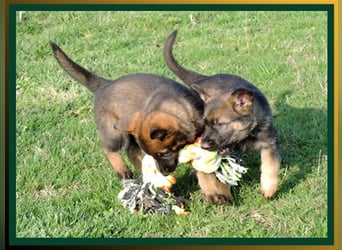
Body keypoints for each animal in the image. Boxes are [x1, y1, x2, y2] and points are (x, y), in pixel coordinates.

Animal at [50, 42, 203, 180]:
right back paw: (122, 171)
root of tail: (104, 85)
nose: (164, 173)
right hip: (113, 132)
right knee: (108, 148)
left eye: (164, 153)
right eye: (159, 154)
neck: (176, 106)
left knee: (130, 150)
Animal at [164, 30, 280, 204]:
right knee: (203, 170)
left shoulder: (269, 142)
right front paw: (222, 194)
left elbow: (271, 165)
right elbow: (219, 176)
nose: (204, 145)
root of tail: (204, 78)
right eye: (206, 124)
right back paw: (211, 193)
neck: (245, 136)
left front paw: (268, 189)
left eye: (219, 124)